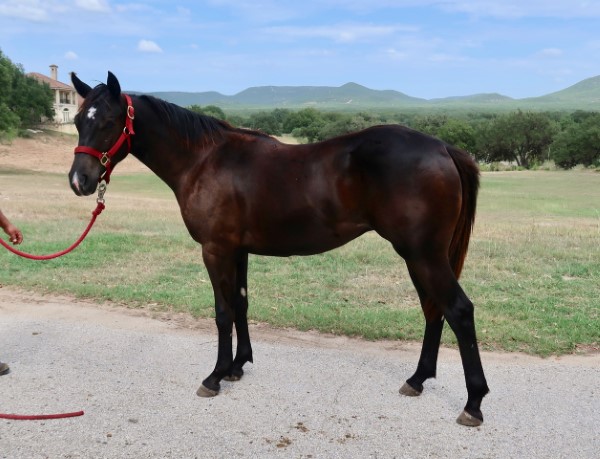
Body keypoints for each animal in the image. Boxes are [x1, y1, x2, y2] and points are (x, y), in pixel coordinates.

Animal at [69, 72, 488, 428]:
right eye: (76, 121)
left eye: (109, 121)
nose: (79, 181)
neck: (204, 160)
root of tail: (444, 147)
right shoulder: (238, 251)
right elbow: (240, 304)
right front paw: (237, 367)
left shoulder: (216, 250)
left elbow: (222, 312)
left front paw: (215, 376)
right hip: (420, 257)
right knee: (434, 311)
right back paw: (417, 380)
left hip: (423, 255)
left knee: (458, 311)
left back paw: (473, 404)